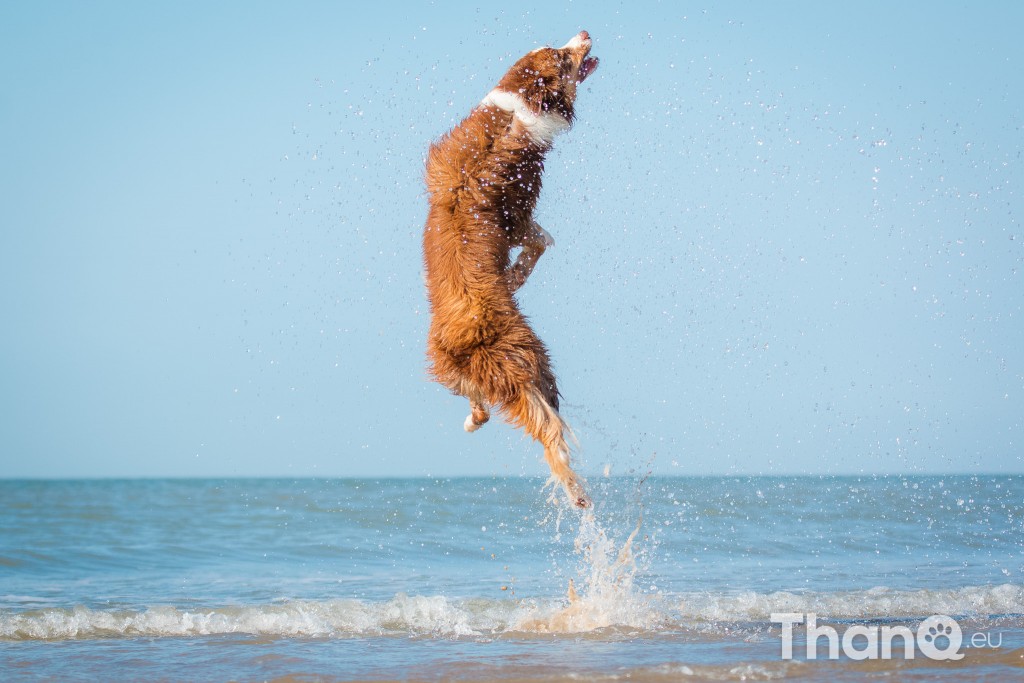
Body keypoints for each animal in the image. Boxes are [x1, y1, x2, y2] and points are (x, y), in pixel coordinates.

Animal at [421, 31, 598, 509]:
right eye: (563, 56)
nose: (584, 33)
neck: (516, 106)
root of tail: (473, 338)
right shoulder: (518, 211)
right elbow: (542, 242)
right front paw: (516, 276)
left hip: (456, 365)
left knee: (482, 401)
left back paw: (474, 421)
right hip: (530, 361)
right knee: (549, 430)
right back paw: (576, 492)